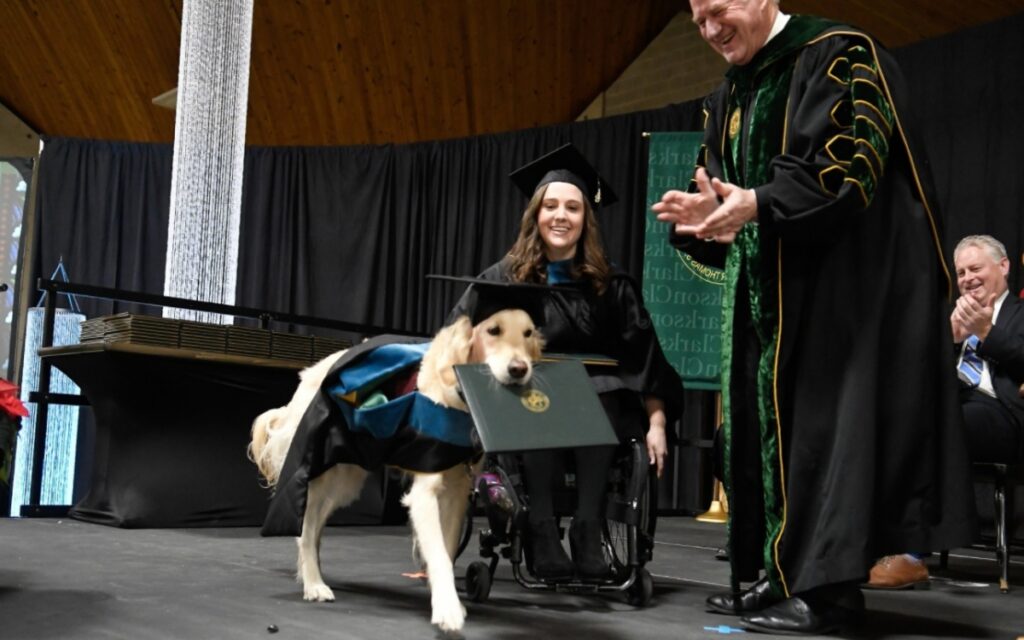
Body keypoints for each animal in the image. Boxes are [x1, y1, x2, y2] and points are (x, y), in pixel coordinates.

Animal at [248, 309, 544, 630]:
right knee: (306, 528)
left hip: (346, 480)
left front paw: (446, 597)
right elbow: (438, 552)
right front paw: (448, 610)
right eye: (493, 330)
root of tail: (309, 375)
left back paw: (309, 574)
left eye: (528, 333)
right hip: (321, 473)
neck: (458, 395)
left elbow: (447, 546)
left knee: (314, 531)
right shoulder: (424, 492)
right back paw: (314, 584)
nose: (519, 369)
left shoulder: (457, 492)